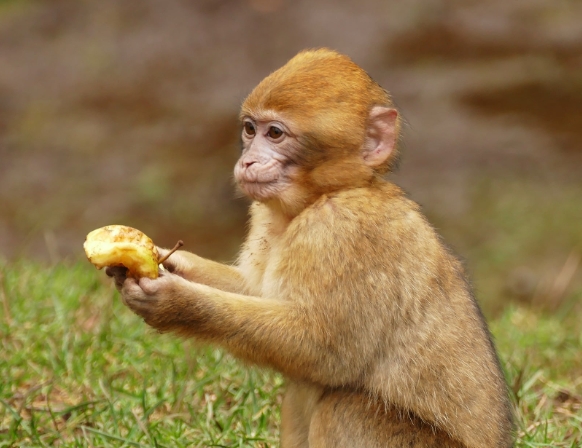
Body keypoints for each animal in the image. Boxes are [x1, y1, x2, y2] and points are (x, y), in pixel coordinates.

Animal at [106, 49, 516, 448]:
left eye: (275, 133)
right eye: (250, 129)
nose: (247, 160)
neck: (327, 194)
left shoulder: (342, 229)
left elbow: (324, 351)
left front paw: (175, 302)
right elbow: (256, 292)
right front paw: (165, 262)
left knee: (343, 407)